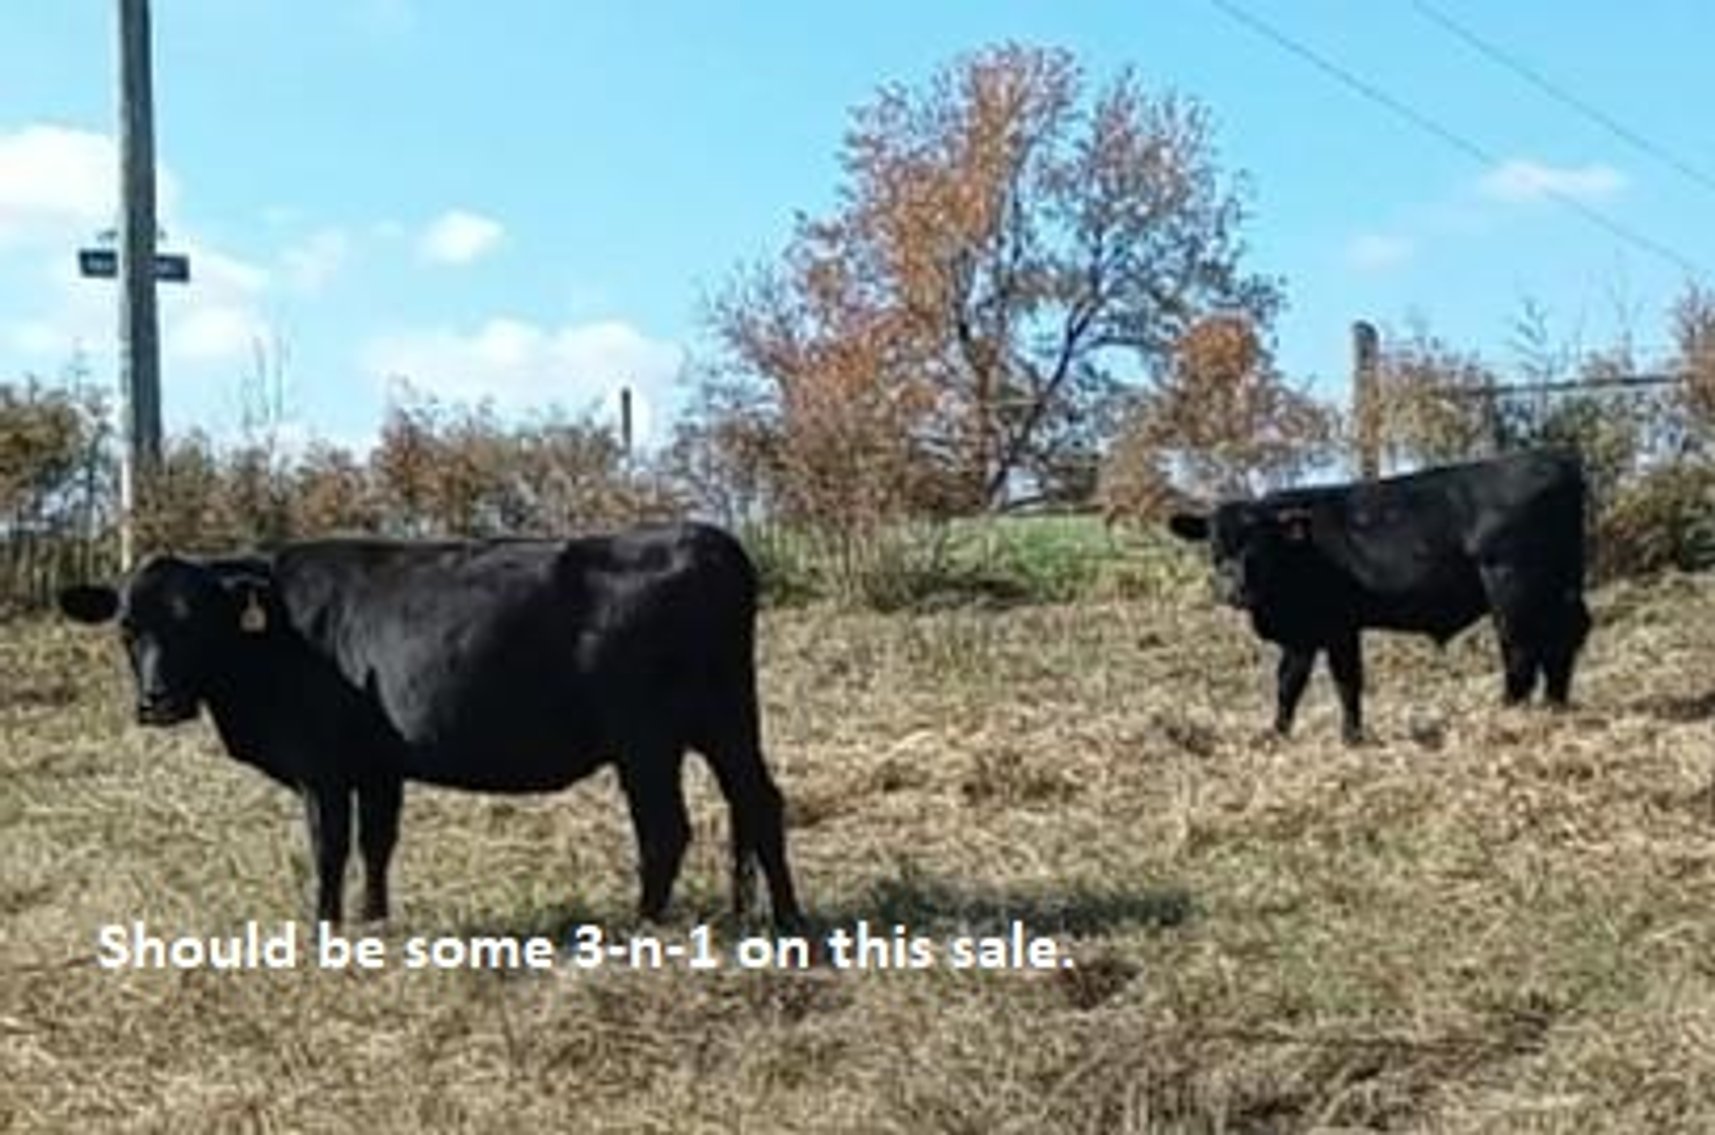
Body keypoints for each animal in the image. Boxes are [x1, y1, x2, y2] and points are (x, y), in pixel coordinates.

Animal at [55, 521, 805, 930]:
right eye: (127, 626)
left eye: (193, 621)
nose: (156, 700)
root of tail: (704, 538)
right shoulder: (379, 765)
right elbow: (378, 844)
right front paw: (375, 920)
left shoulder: (321, 767)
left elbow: (329, 847)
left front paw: (322, 929)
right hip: (726, 724)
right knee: (758, 805)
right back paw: (782, 920)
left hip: (646, 739)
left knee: (666, 828)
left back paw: (638, 928)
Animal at [1166, 448, 1592, 745]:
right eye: (1214, 545)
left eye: (1259, 546)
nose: (1234, 589)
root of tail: (1556, 460)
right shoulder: (1321, 630)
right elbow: (1305, 683)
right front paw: (1286, 733)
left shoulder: (1324, 629)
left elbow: (1320, 681)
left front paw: (1340, 738)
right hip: (1558, 589)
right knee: (1560, 645)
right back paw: (1555, 709)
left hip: (1513, 589)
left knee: (1522, 652)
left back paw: (1506, 716)